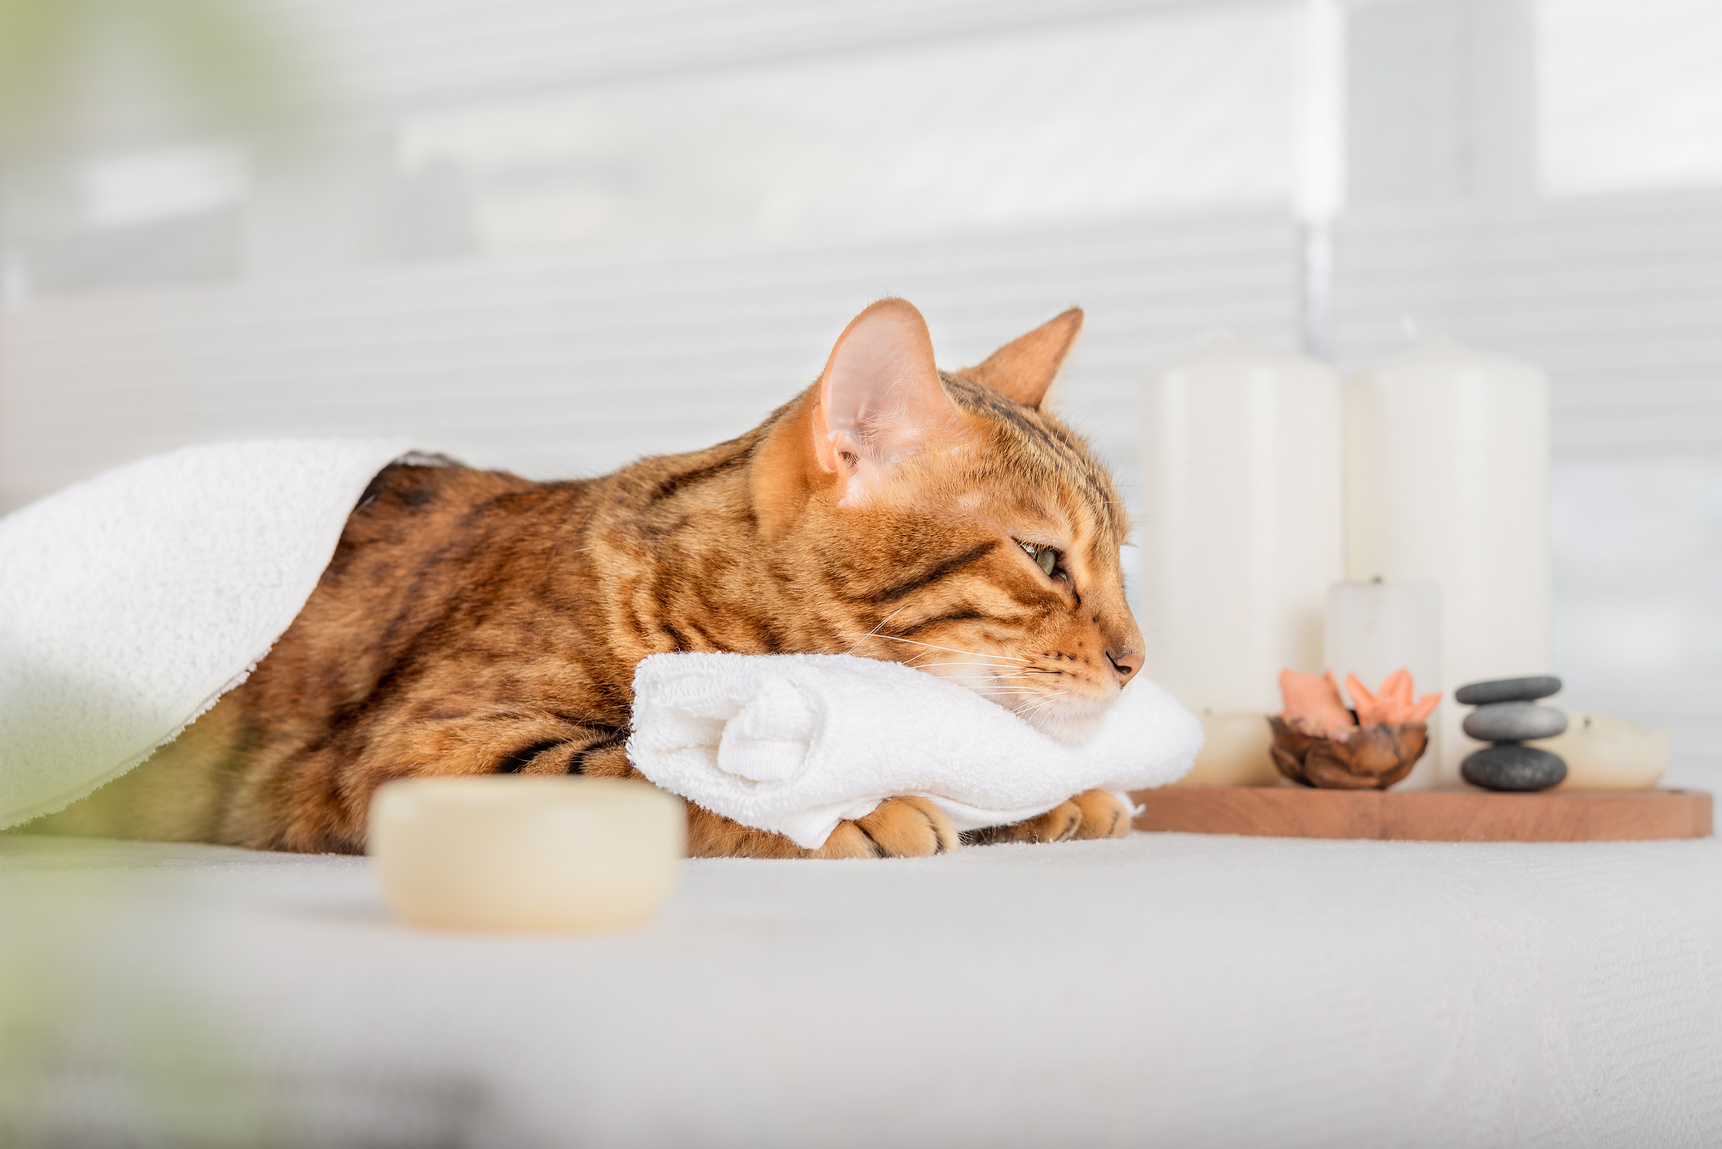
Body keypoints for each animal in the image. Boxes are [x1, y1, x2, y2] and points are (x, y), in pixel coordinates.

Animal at [40, 301, 1143, 857]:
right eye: (1046, 558)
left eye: (1121, 555)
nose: (1138, 659)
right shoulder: (419, 746)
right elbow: (653, 773)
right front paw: (859, 806)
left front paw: (1058, 800)